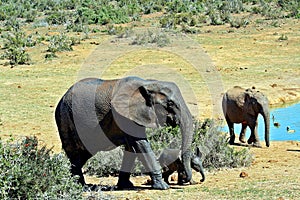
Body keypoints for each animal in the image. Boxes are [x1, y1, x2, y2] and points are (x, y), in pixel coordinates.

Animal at [54, 76, 195, 189]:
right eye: (170, 103)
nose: (184, 179)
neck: (147, 83)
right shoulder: (124, 115)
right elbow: (140, 144)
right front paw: (163, 187)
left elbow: (131, 147)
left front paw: (126, 185)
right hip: (66, 119)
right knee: (75, 154)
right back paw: (80, 186)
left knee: (81, 155)